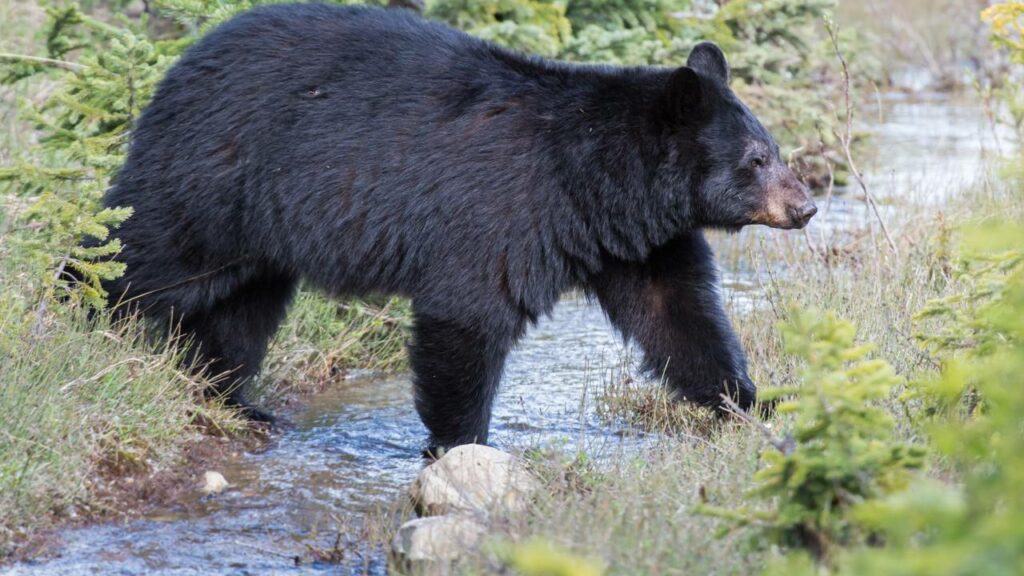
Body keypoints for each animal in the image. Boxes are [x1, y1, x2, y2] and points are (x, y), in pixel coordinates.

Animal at [99, 3, 816, 451]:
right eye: (757, 159)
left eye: (774, 149)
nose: (806, 207)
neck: (596, 179)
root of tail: (182, 60)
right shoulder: (504, 210)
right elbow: (468, 314)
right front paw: (461, 444)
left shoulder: (638, 241)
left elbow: (677, 314)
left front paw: (755, 401)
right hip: (214, 179)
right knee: (142, 254)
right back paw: (89, 320)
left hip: (258, 230)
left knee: (242, 308)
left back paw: (232, 396)